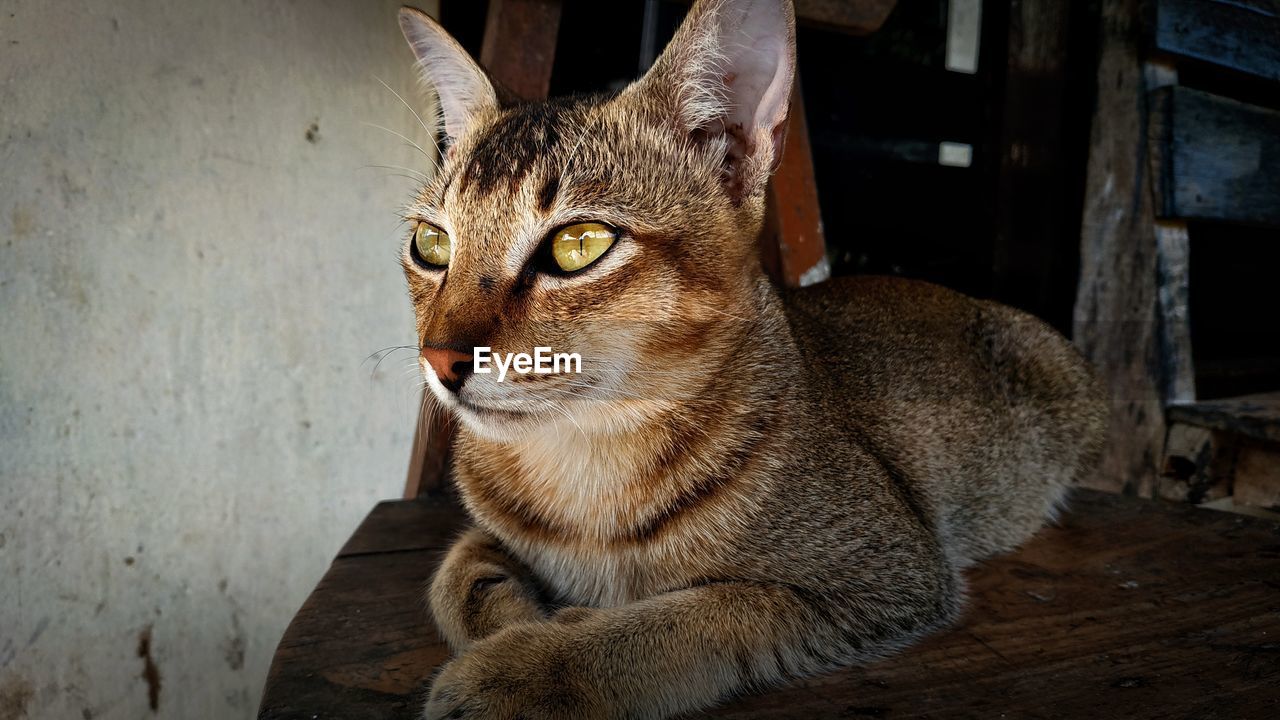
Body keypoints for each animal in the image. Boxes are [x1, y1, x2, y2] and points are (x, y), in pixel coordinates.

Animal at [394, 2, 1105, 712]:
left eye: (579, 245)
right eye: (430, 243)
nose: (440, 359)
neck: (583, 467)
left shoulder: (890, 570)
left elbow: (691, 617)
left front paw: (526, 667)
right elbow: (456, 577)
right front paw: (522, 624)